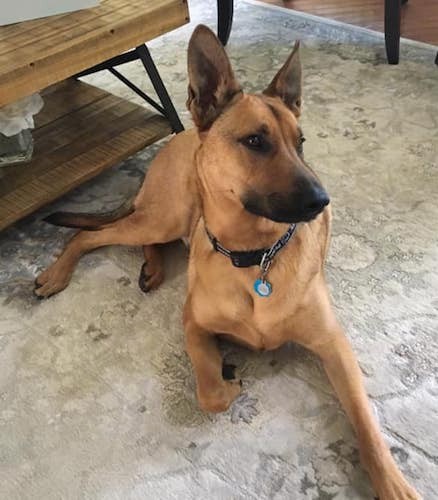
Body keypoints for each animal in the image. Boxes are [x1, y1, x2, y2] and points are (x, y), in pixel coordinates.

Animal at [36, 25, 420, 500]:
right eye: (255, 141)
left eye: (301, 143)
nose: (322, 201)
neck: (256, 258)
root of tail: (183, 136)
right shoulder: (194, 325)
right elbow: (209, 393)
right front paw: (228, 376)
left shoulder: (333, 344)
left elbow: (366, 421)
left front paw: (393, 482)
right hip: (166, 214)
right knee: (91, 235)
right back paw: (56, 275)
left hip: (164, 220)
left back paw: (152, 270)